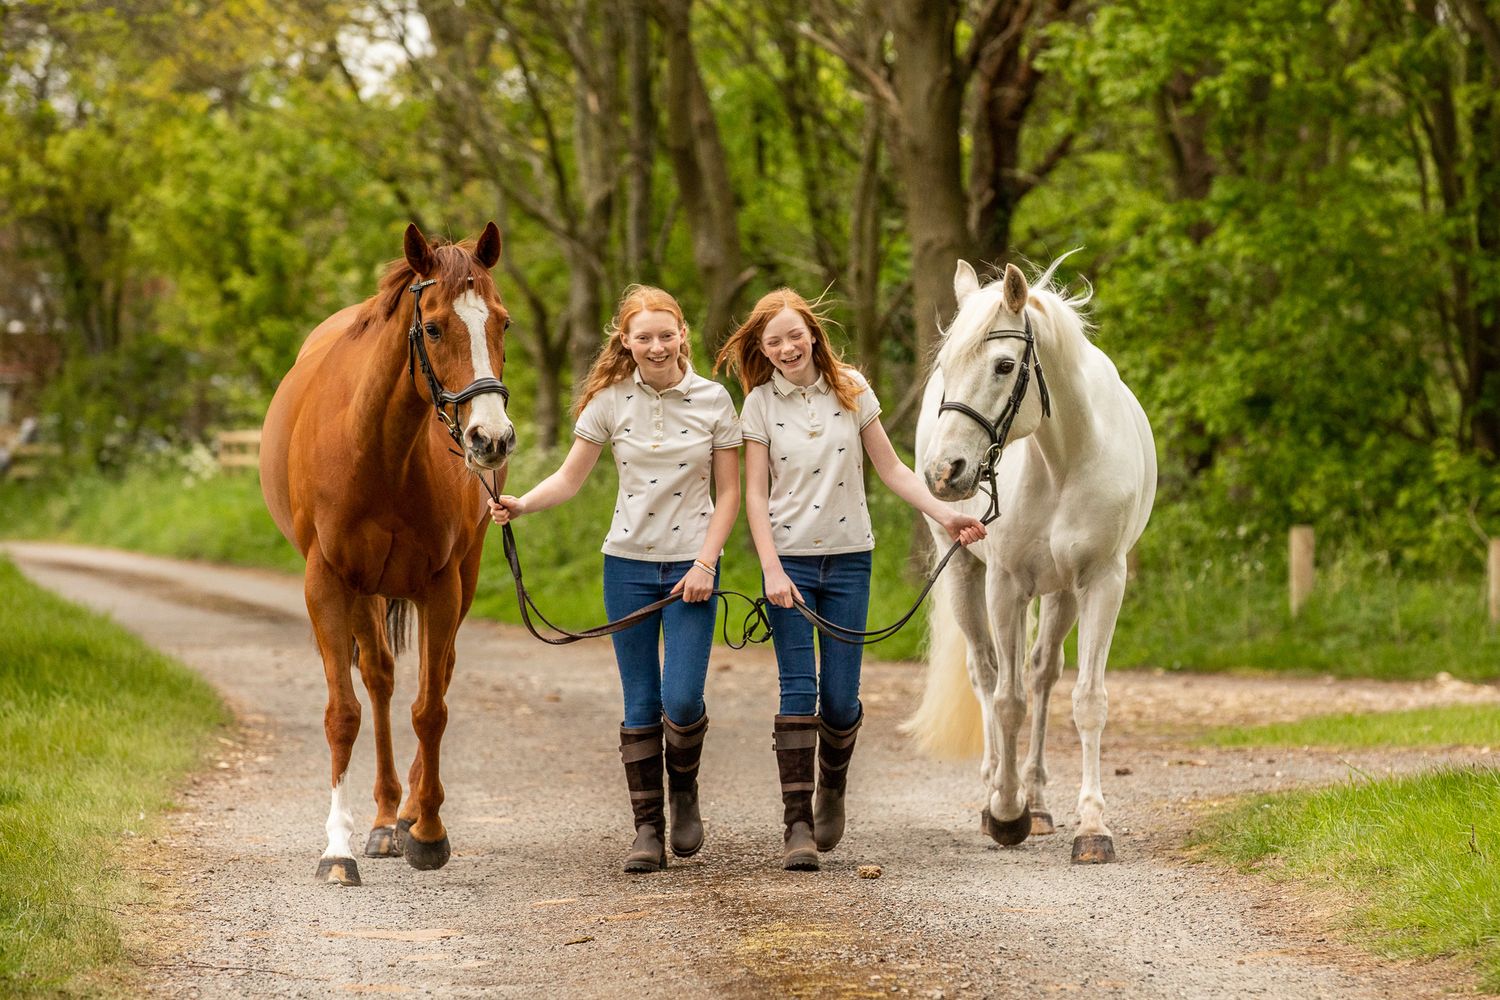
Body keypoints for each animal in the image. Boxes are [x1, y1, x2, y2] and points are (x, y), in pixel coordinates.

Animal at [260, 222, 515, 886]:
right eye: (435, 328)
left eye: (502, 323)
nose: (491, 439)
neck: (376, 449)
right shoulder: (328, 582)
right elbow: (343, 713)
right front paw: (337, 849)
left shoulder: (442, 583)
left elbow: (431, 709)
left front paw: (426, 831)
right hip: (366, 592)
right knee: (377, 679)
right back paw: (380, 819)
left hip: (461, 577)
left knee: (436, 677)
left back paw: (407, 814)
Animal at [907, 258, 1155, 864]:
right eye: (946, 366)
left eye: (1003, 365)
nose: (943, 473)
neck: (1064, 458)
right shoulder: (1005, 585)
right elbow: (1007, 701)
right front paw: (1004, 812)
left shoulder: (1101, 583)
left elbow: (1086, 700)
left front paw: (1093, 827)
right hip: (965, 575)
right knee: (985, 674)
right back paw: (998, 790)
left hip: (1061, 593)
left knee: (1043, 675)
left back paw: (1038, 801)